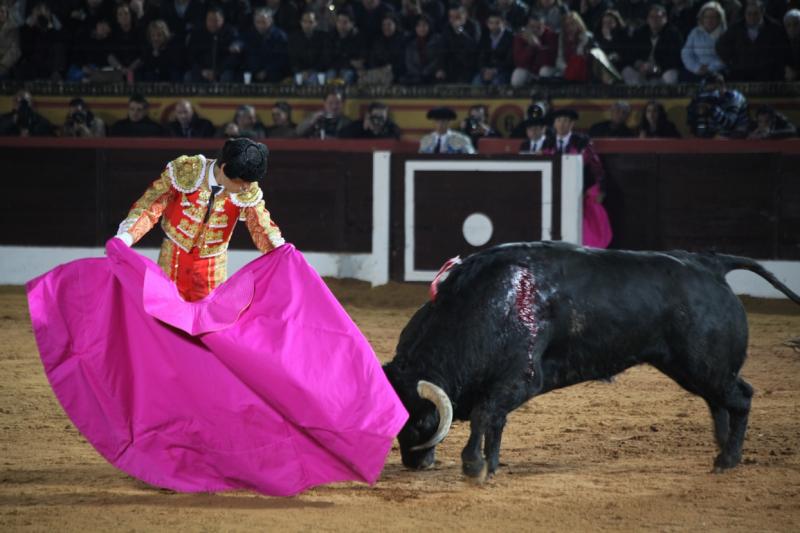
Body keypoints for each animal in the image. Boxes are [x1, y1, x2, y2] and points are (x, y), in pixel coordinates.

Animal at [382, 243, 800, 480]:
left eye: (417, 420)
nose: (415, 464)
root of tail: (710, 264)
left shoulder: (522, 377)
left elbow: (485, 415)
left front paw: (474, 466)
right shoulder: (504, 385)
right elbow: (494, 422)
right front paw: (492, 463)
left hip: (704, 365)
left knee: (741, 396)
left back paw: (727, 458)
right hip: (692, 368)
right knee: (719, 401)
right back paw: (722, 448)